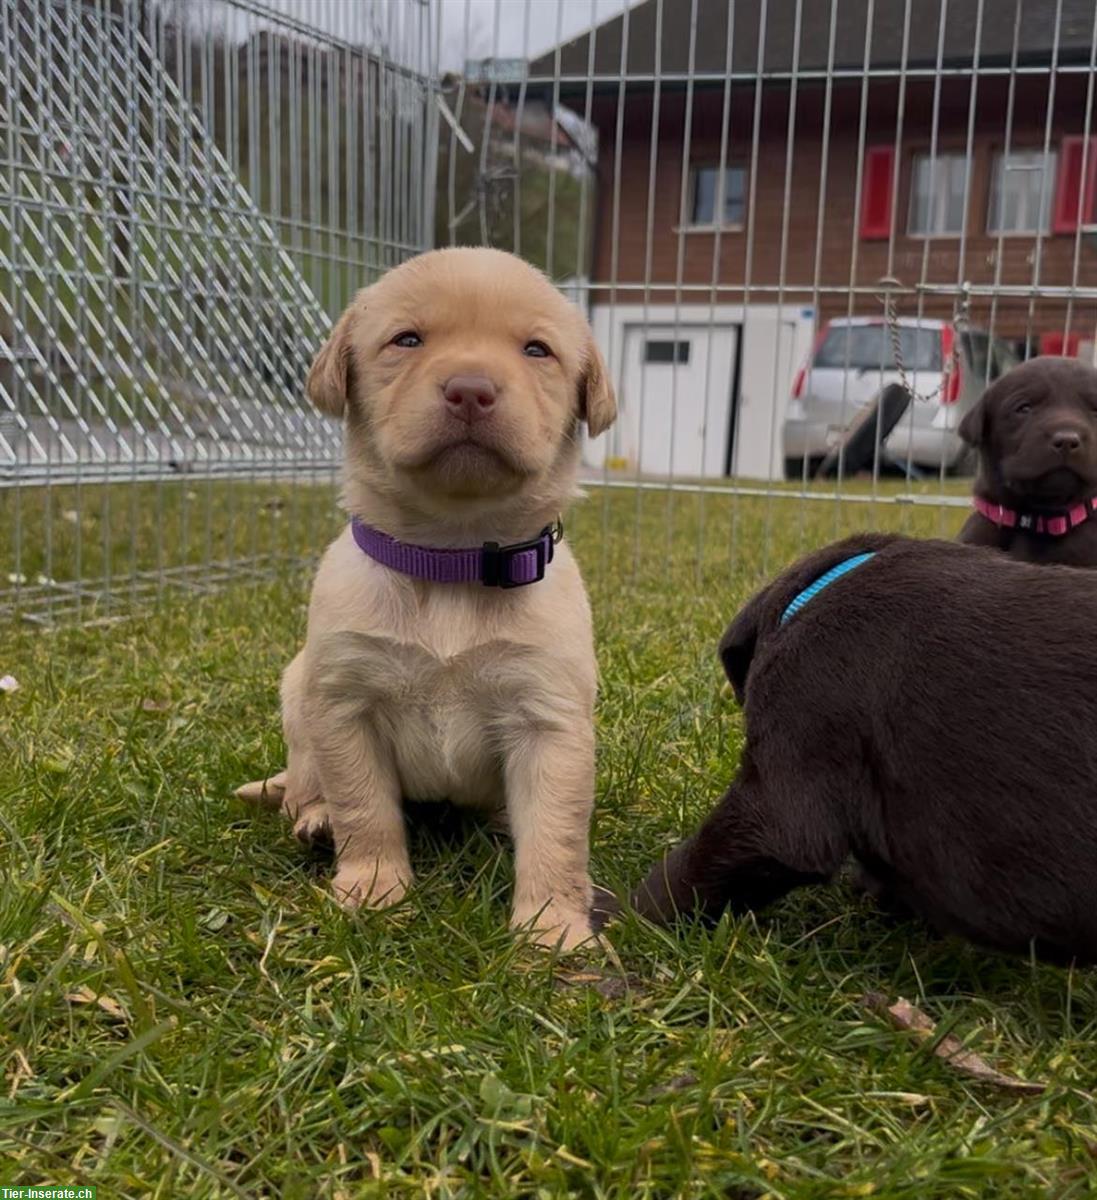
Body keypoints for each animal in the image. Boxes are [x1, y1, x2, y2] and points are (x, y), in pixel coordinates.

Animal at [238, 248, 612, 950]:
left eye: (537, 350)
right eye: (407, 340)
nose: (470, 388)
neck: (451, 559)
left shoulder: (549, 719)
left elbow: (555, 833)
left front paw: (552, 928)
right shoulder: (345, 705)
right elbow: (365, 807)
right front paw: (374, 889)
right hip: (299, 698)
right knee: (304, 783)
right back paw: (316, 820)